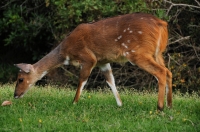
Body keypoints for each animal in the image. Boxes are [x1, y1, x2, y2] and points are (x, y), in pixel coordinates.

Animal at [13, 13, 172, 110]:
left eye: (20, 79)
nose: (15, 95)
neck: (65, 52)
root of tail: (162, 24)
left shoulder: (89, 58)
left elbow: (82, 80)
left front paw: (74, 103)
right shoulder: (103, 61)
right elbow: (111, 81)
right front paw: (120, 104)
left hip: (137, 52)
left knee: (161, 71)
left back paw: (160, 107)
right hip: (158, 53)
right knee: (168, 71)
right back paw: (170, 105)